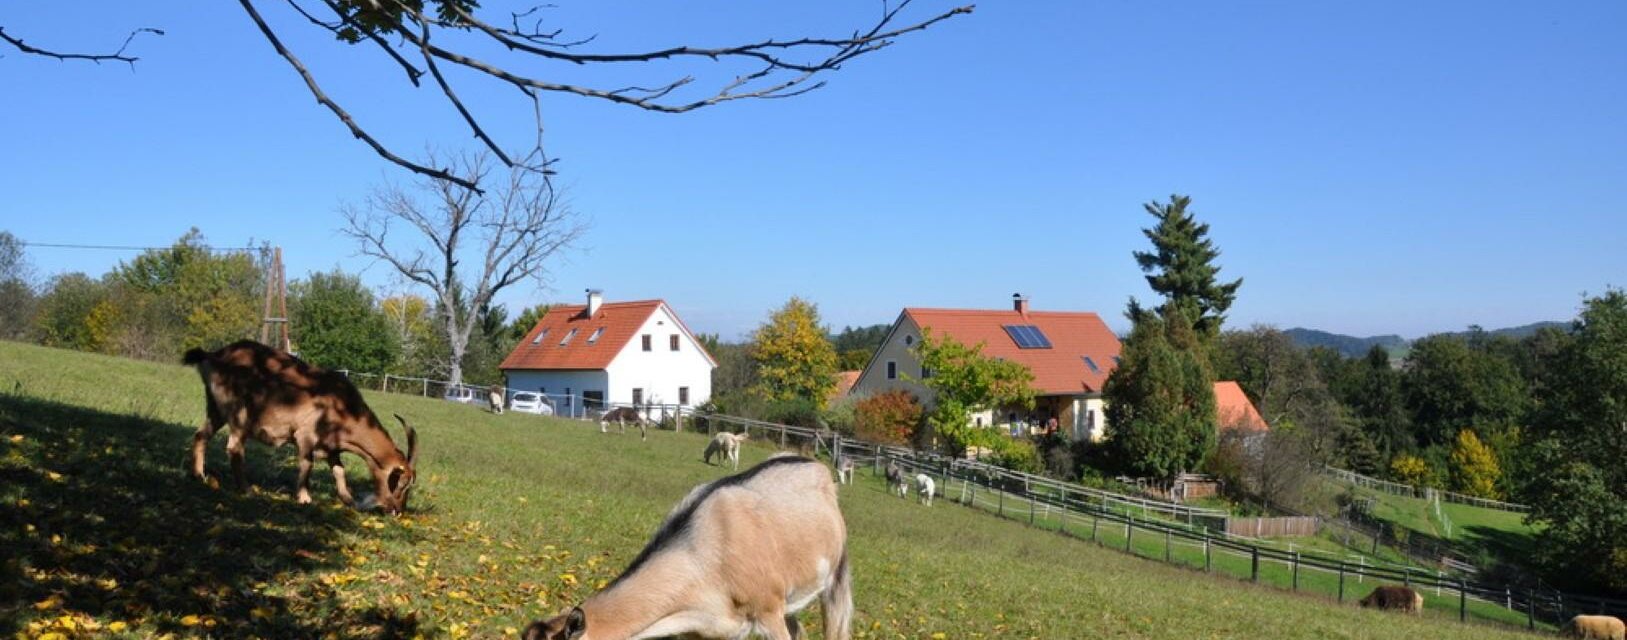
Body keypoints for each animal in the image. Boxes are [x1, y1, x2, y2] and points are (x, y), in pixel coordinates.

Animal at [182, 338, 423, 514]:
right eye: (400, 483)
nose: (397, 511)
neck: (344, 407)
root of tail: (213, 355)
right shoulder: (306, 435)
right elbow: (307, 464)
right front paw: (305, 498)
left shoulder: (331, 447)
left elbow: (339, 471)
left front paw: (348, 499)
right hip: (240, 413)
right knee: (234, 448)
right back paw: (246, 488)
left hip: (215, 408)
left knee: (201, 435)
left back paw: (198, 475)